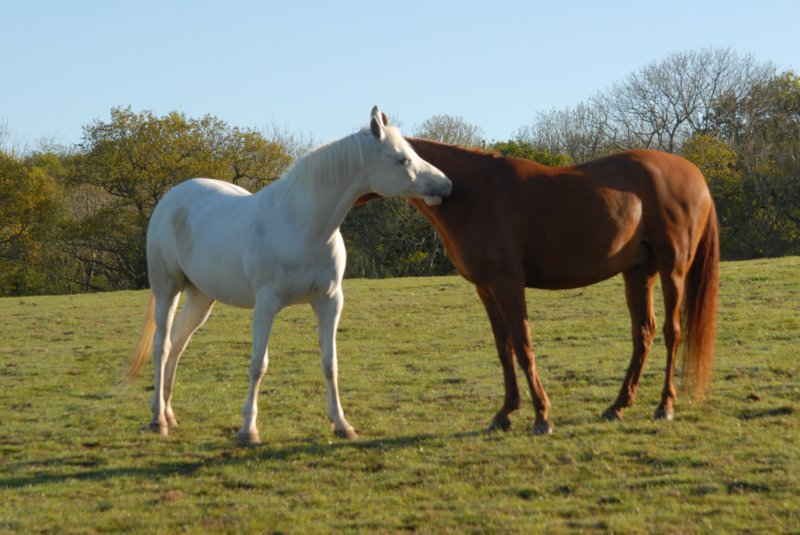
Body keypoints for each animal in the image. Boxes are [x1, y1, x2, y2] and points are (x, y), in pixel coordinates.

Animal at [125, 107, 450, 446]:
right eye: (402, 160)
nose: (446, 185)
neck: (304, 226)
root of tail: (170, 200)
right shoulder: (266, 305)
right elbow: (258, 365)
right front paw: (248, 430)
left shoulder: (329, 302)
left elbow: (330, 363)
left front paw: (341, 424)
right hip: (167, 289)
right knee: (162, 347)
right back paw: (157, 420)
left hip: (201, 298)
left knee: (177, 345)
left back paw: (170, 414)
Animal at [362, 129, 720, 436]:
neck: (471, 192)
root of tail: (696, 175)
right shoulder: (486, 289)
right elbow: (504, 348)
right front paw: (505, 413)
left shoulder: (507, 284)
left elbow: (523, 346)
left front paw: (542, 417)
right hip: (638, 272)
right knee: (643, 333)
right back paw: (617, 407)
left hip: (672, 270)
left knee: (673, 333)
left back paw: (665, 406)